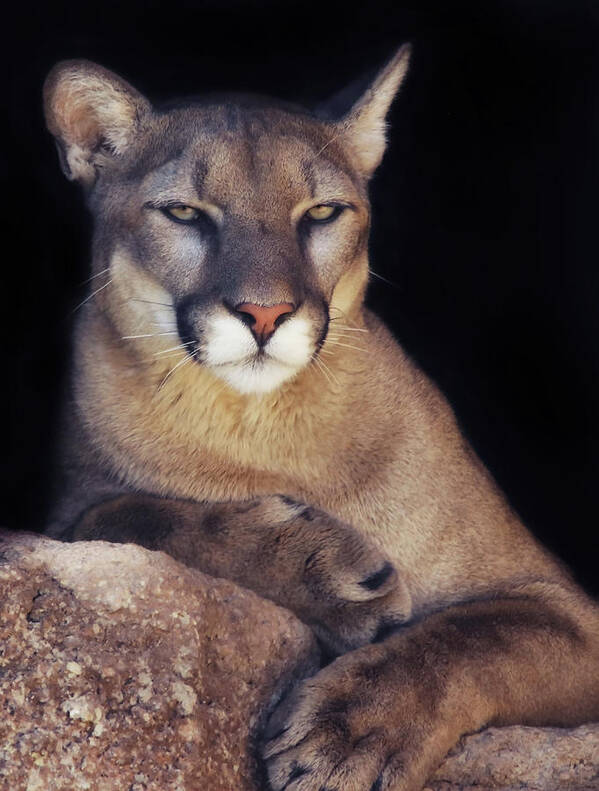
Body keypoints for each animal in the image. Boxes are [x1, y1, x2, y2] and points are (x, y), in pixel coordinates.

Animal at [43, 48, 599, 791]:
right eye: (183, 212)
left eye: (323, 212)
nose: (265, 313)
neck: (259, 424)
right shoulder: (67, 512)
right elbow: (133, 515)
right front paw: (331, 572)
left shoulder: (560, 604)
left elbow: (475, 640)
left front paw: (350, 732)